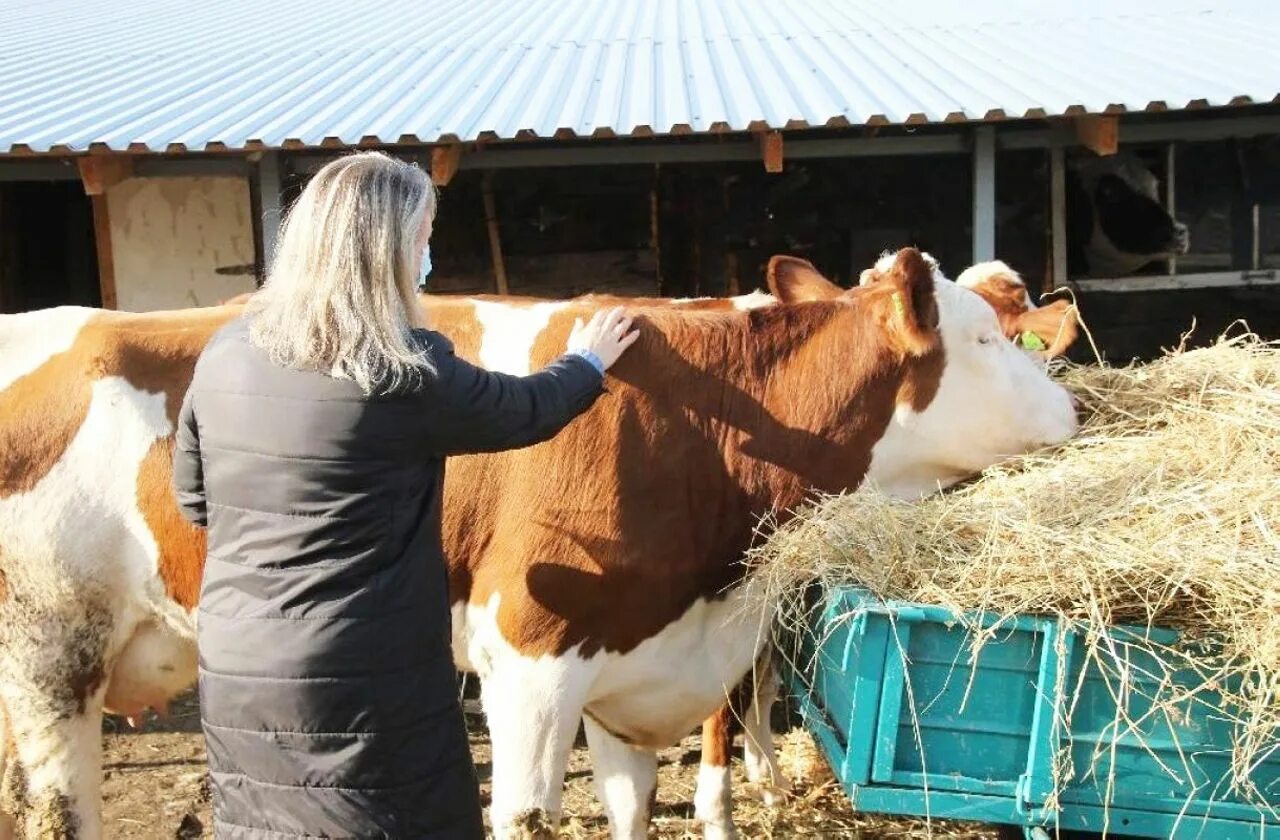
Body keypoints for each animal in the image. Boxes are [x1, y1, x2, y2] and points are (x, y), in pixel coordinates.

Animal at [0, 249, 1080, 840]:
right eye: (989, 342)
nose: (1075, 410)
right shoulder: (528, 657)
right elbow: (526, 813)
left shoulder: (640, 673)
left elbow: (637, 808)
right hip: (52, 649)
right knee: (59, 807)